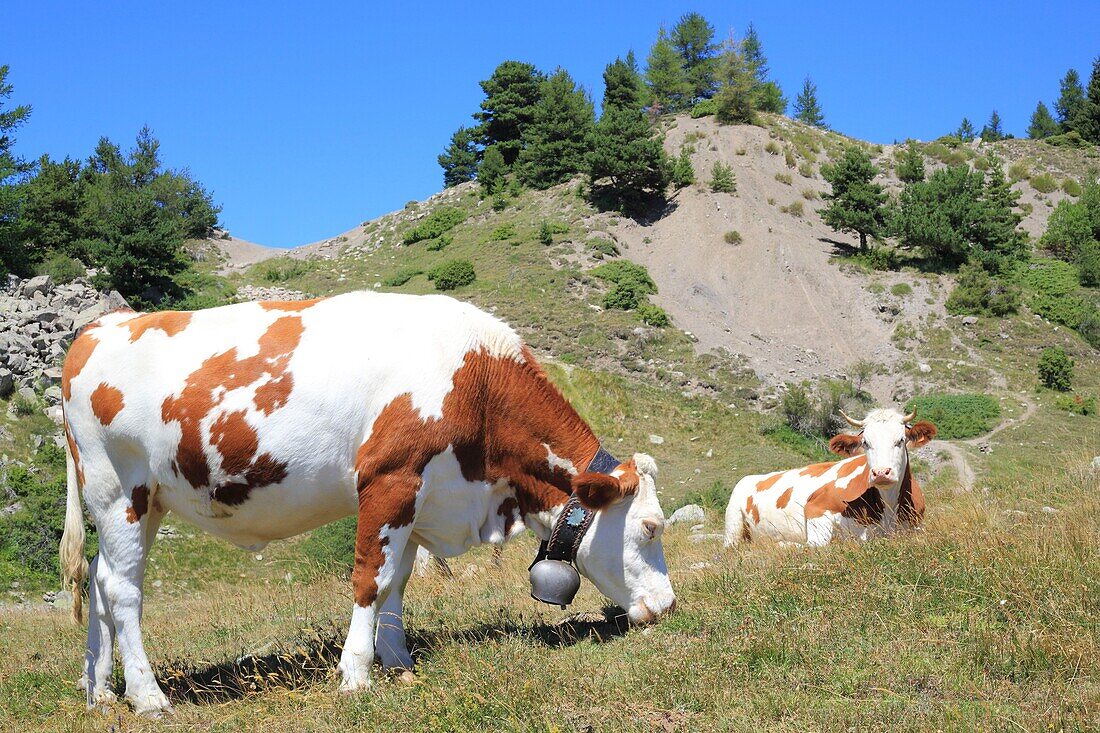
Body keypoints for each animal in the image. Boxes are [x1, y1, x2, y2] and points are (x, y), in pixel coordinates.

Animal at [62, 290, 677, 713]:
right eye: (650, 527)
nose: (669, 607)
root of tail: (101, 327)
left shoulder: (422, 496)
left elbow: (398, 579)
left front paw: (398, 659)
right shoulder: (390, 478)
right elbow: (370, 579)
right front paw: (355, 674)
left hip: (141, 500)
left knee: (98, 577)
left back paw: (101, 691)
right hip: (118, 489)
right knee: (124, 589)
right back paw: (148, 696)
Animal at [721, 407, 937, 545]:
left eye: (900, 440)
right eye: (865, 443)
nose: (880, 473)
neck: (889, 509)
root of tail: (749, 477)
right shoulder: (816, 507)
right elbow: (818, 546)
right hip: (733, 524)